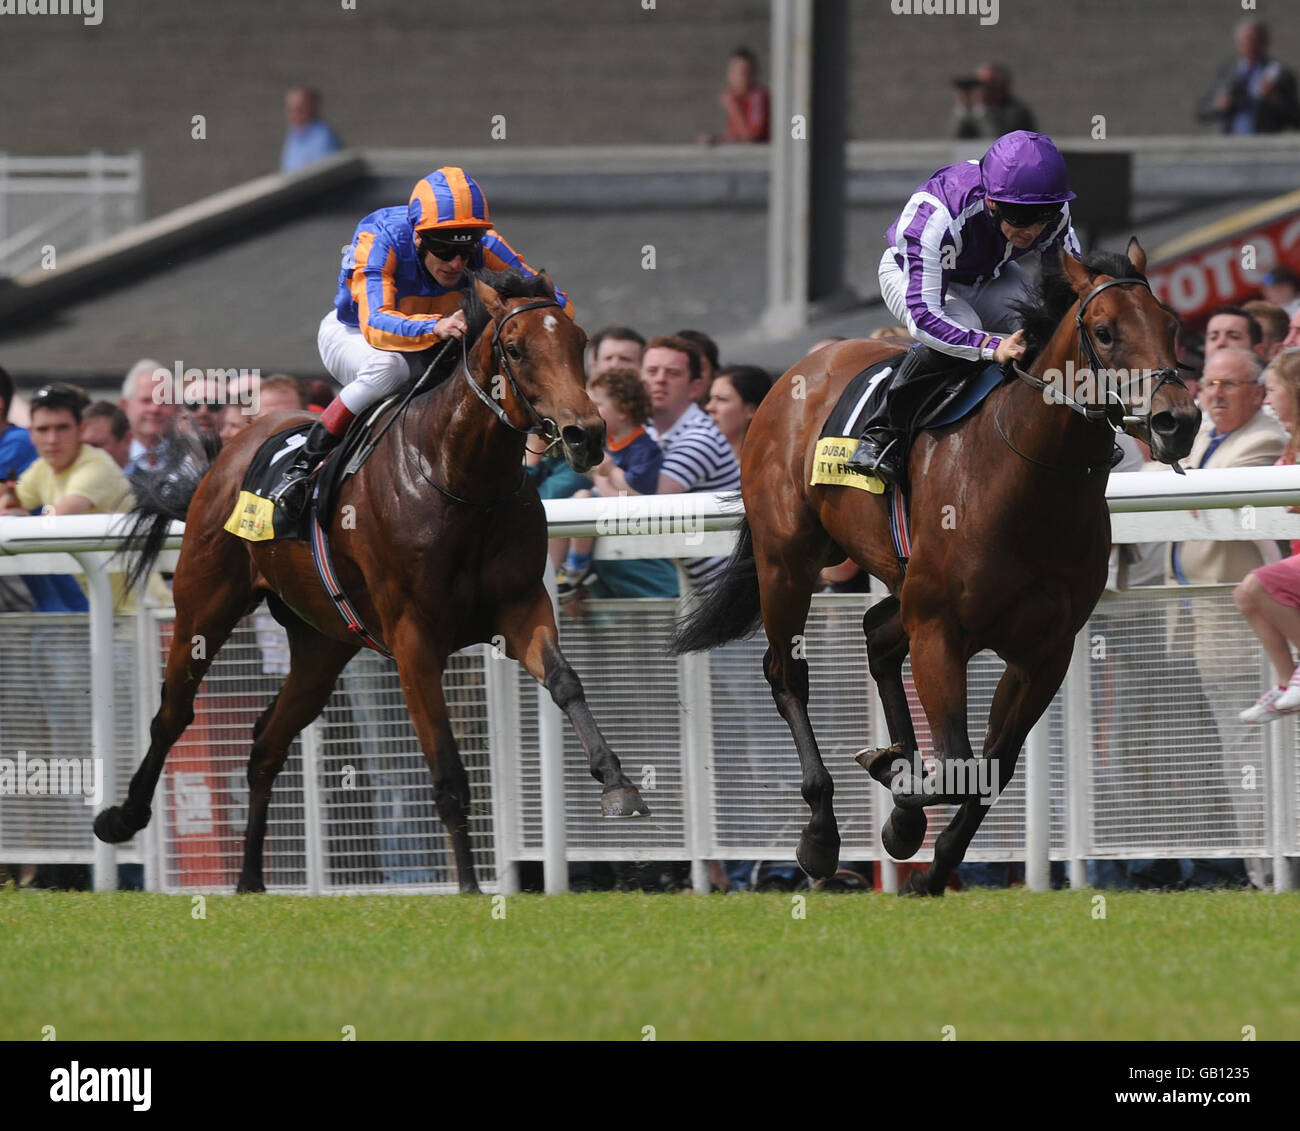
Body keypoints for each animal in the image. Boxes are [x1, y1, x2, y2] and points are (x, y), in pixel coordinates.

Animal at [96, 271, 650, 894]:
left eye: (579, 342)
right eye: (515, 348)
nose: (587, 434)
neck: (461, 480)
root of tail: (230, 448)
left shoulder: (521, 606)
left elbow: (565, 682)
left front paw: (618, 785)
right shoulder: (413, 638)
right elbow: (446, 763)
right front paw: (468, 884)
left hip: (322, 643)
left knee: (266, 741)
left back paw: (250, 879)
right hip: (204, 602)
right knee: (174, 712)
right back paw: (122, 818)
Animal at [676, 245, 1201, 894]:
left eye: (1172, 325)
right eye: (1104, 332)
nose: (1179, 421)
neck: (1027, 484)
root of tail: (807, 363)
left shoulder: (1044, 652)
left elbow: (992, 766)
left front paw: (926, 853)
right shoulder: (940, 631)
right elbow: (957, 764)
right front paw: (897, 797)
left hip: (898, 581)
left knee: (875, 636)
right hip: (787, 562)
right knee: (786, 673)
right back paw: (821, 834)